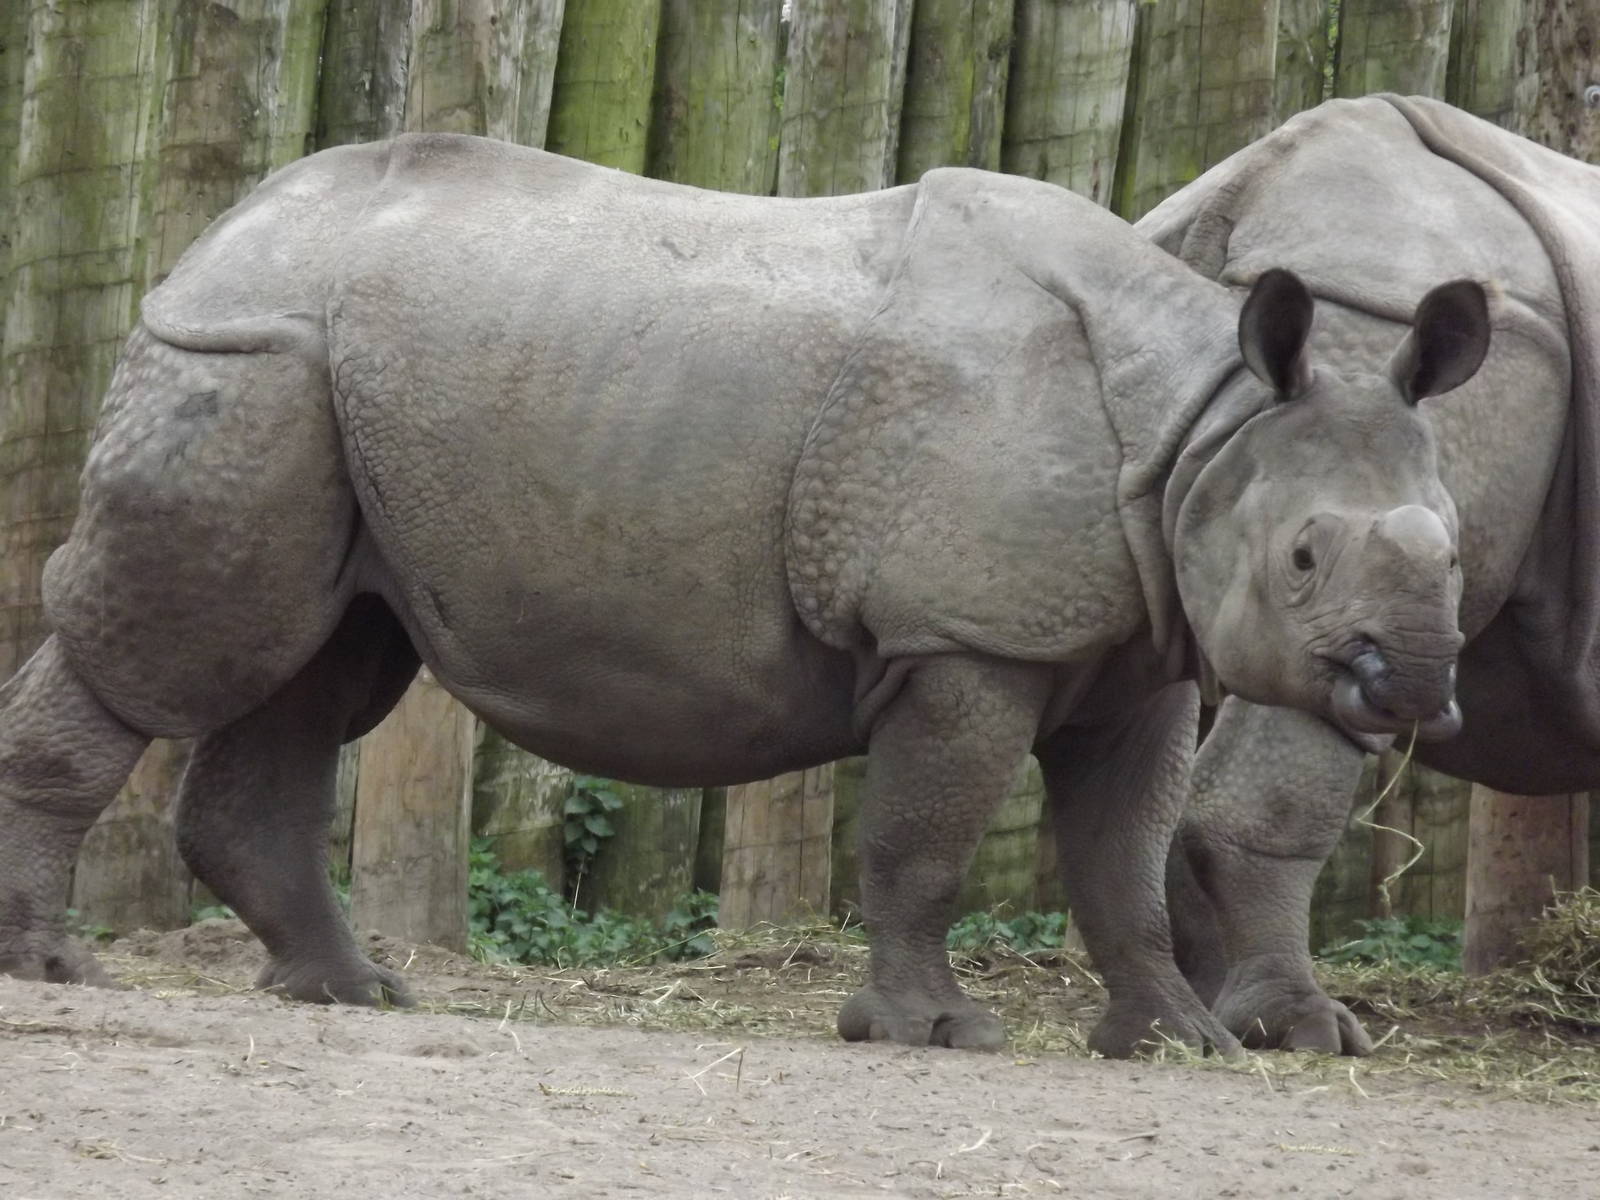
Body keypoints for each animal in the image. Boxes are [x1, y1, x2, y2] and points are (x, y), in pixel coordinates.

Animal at [0, 133, 1489, 1057]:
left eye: (1461, 551)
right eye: (1303, 559)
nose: (1408, 686)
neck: (1205, 428)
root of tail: (224, 227)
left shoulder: (1138, 646)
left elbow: (1118, 854)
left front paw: (1175, 1044)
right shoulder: (963, 638)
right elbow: (926, 839)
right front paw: (930, 1034)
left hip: (334, 377)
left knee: (326, 666)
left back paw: (355, 993)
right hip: (245, 356)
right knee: (186, 652)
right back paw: (53, 969)